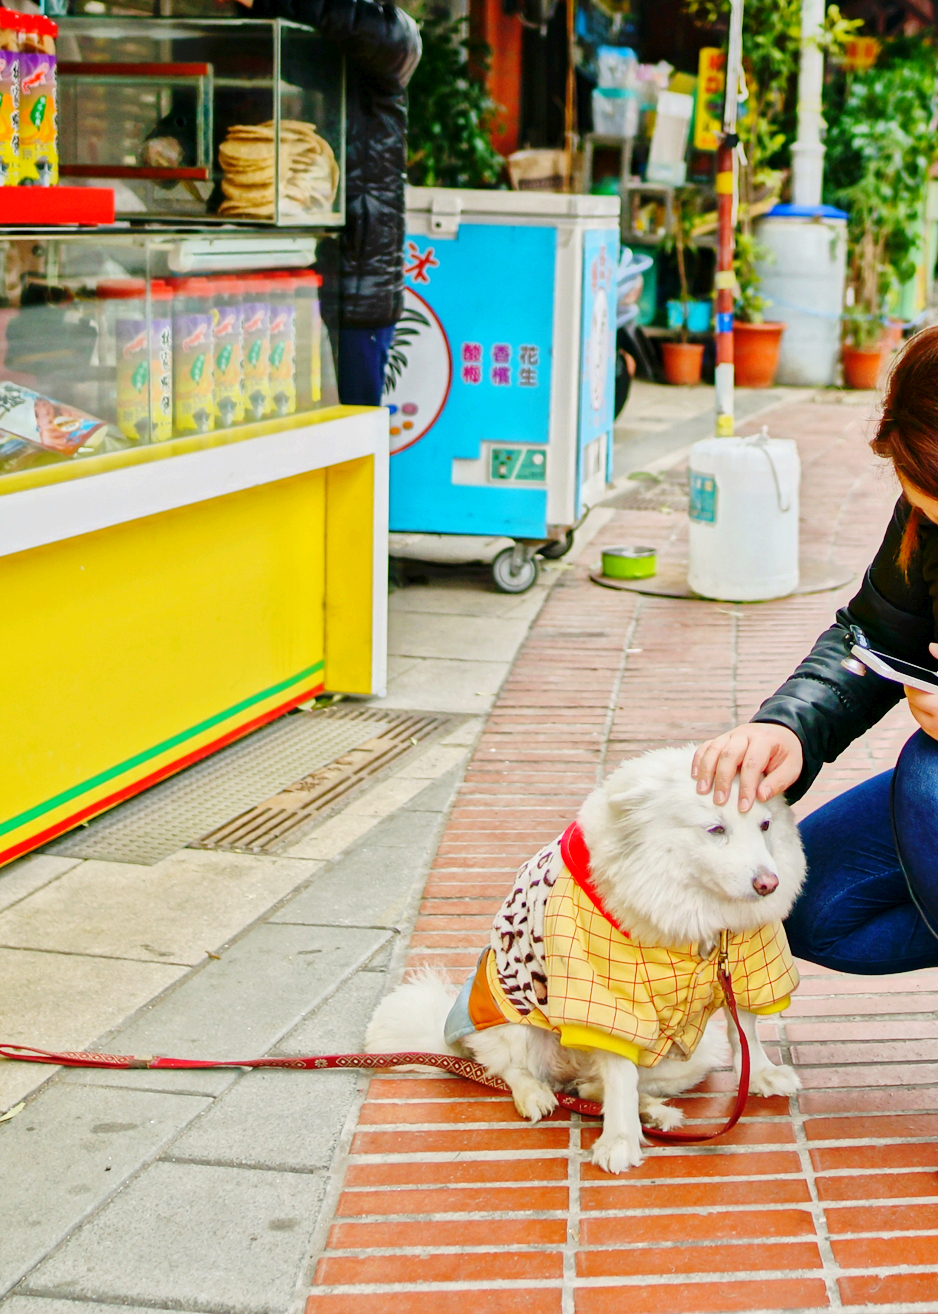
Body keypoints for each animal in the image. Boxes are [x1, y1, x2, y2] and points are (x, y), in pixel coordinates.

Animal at [365, 746, 804, 1177]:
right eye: (716, 830)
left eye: (765, 825)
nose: (769, 884)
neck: (697, 916)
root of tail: (569, 1068)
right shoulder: (607, 998)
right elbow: (620, 1074)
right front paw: (620, 1142)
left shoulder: (751, 965)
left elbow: (743, 1029)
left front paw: (762, 1074)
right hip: (510, 1020)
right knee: (507, 1068)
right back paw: (537, 1095)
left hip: (690, 1056)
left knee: (596, 1086)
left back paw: (651, 1111)